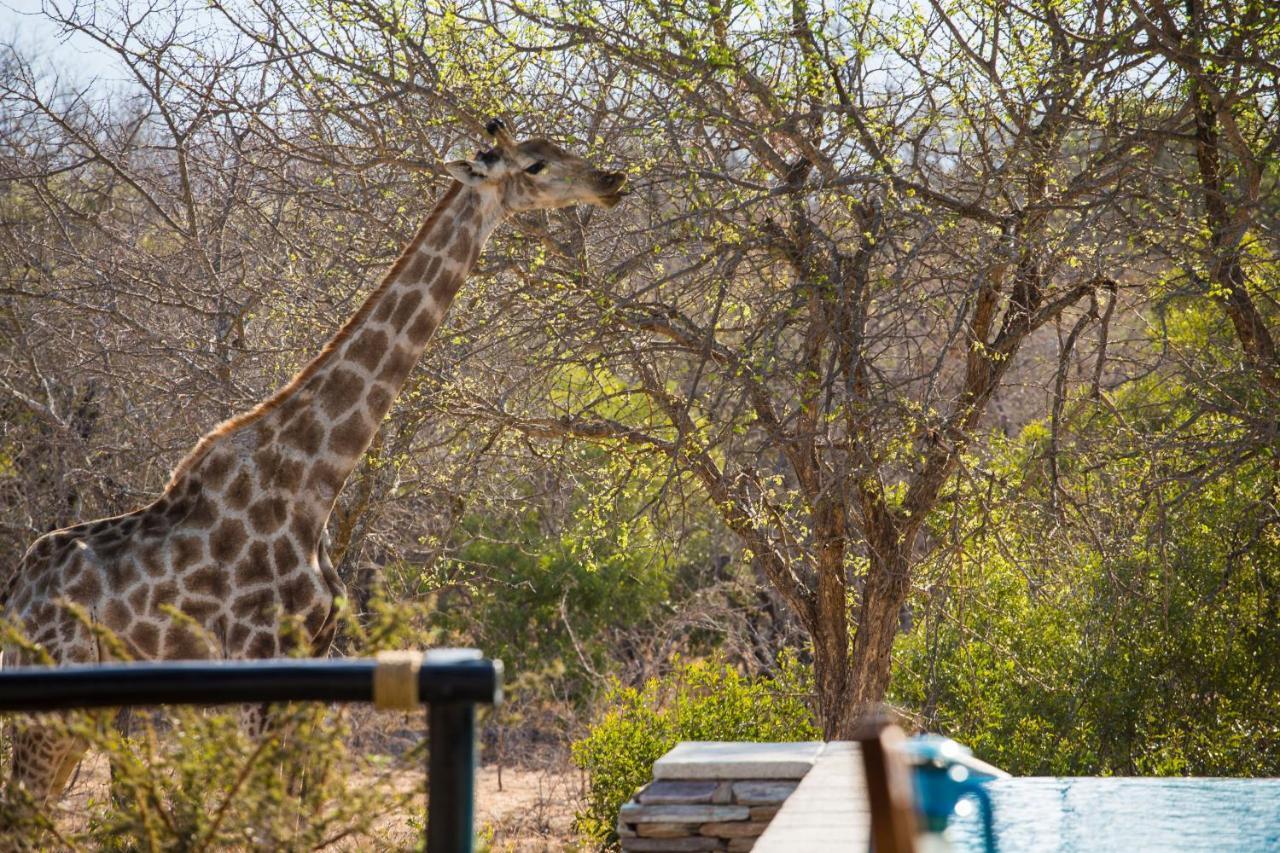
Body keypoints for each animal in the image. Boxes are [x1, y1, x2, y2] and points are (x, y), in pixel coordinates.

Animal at [0, 121, 627, 804]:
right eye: (534, 165)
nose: (612, 181)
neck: (314, 479)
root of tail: (14, 600)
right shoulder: (258, 656)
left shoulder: (316, 652)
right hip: (48, 711)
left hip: (77, 718)